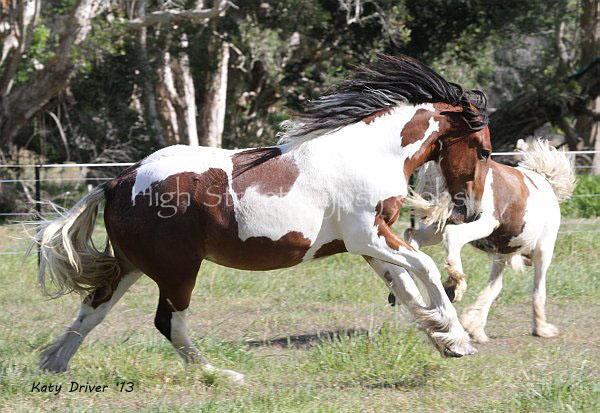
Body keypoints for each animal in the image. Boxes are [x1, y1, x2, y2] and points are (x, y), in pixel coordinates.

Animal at [406, 138, 576, 342]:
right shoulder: (543, 249)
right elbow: (538, 290)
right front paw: (542, 329)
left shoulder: (501, 254)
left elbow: (494, 287)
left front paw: (474, 326)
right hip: (483, 224)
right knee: (452, 236)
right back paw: (456, 284)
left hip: (436, 226)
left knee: (412, 237)